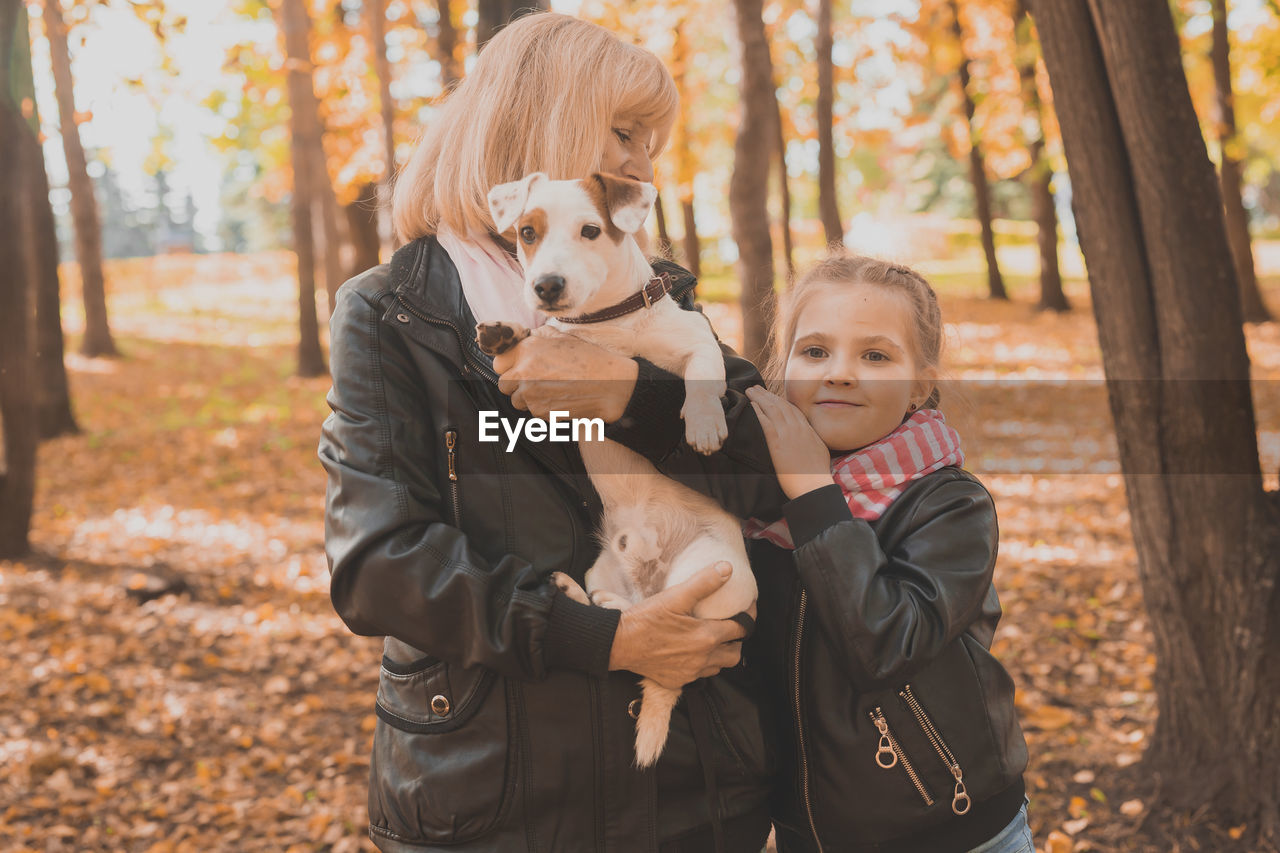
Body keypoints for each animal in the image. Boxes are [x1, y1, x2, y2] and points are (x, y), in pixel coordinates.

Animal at [481, 171, 757, 763]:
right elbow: (536, 337)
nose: (546, 286)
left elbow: (703, 374)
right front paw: (505, 331)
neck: (607, 324)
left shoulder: (697, 340)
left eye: (590, 230)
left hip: (710, 569)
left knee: (670, 616)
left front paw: (703, 424)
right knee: (622, 615)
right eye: (527, 232)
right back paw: (581, 594)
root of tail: (649, 579)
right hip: (602, 568)